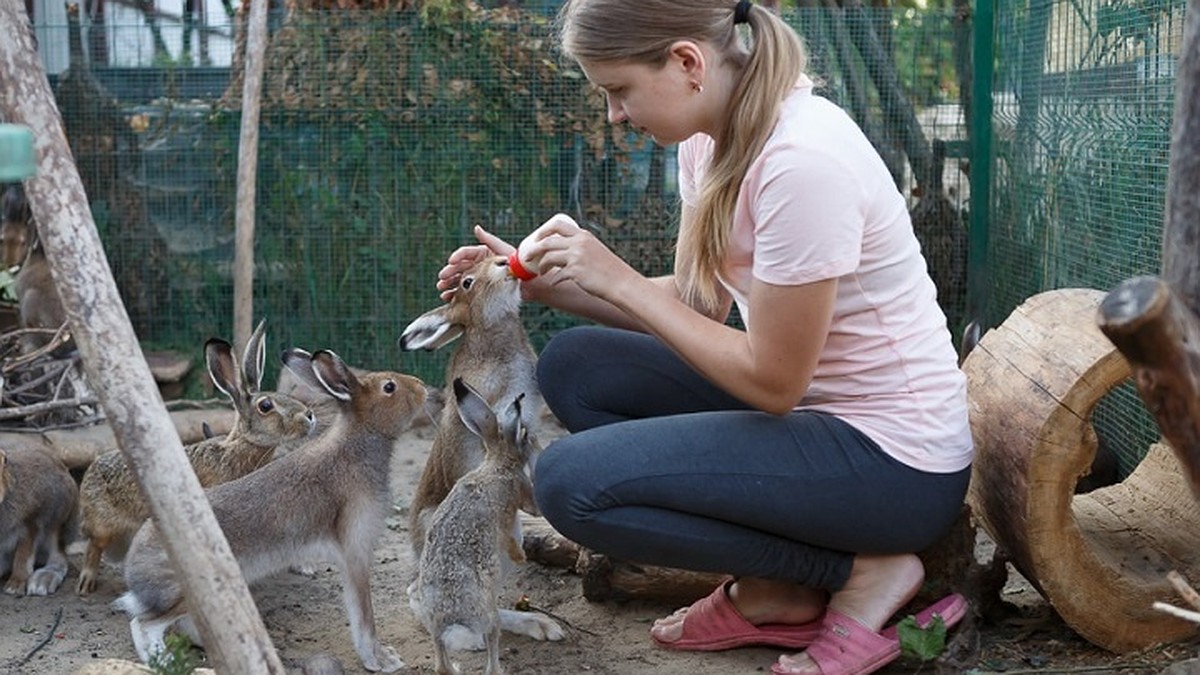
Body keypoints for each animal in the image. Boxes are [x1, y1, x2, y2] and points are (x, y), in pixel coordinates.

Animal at [0, 446, 77, 593]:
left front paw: (14, 585)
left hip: (56, 520)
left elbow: (24, 554)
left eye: (4, 460)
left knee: (58, 555)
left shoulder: (32, 519)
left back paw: (41, 582)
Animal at [75, 317, 316, 590]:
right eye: (265, 406)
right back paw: (86, 583)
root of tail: (89, 473)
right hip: (103, 524)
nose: (309, 416)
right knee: (94, 547)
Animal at [113, 345, 436, 667]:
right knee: (143, 624)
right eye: (389, 387)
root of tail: (133, 567)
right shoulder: (355, 551)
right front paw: (382, 661)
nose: (421, 386)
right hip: (188, 592)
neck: (360, 438)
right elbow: (363, 617)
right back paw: (163, 661)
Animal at [412, 379, 544, 672]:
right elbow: (525, 518)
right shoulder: (517, 497)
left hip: (435, 628)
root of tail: (453, 617)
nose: (532, 439)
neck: (496, 463)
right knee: (491, 659)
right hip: (490, 619)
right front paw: (521, 555)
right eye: (524, 434)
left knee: (441, 665)